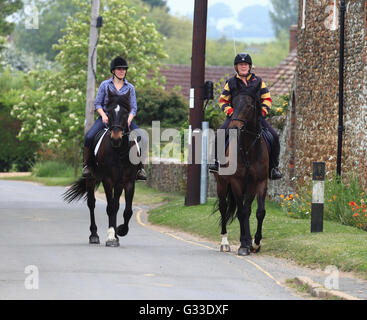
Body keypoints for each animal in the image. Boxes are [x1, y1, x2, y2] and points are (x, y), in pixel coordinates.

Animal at [62, 90, 139, 248]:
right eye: (108, 113)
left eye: (125, 113)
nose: (116, 138)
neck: (119, 151)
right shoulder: (108, 180)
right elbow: (110, 208)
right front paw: (111, 237)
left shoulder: (128, 181)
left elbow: (126, 210)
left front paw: (120, 231)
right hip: (91, 179)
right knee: (92, 203)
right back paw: (94, 235)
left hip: (118, 183)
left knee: (116, 205)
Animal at [213, 91, 270, 256]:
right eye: (234, 103)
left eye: (250, 105)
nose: (235, 127)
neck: (248, 148)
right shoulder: (236, 182)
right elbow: (241, 213)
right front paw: (244, 245)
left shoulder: (259, 182)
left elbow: (258, 212)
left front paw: (255, 243)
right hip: (222, 184)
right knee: (224, 207)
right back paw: (225, 243)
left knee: (247, 210)